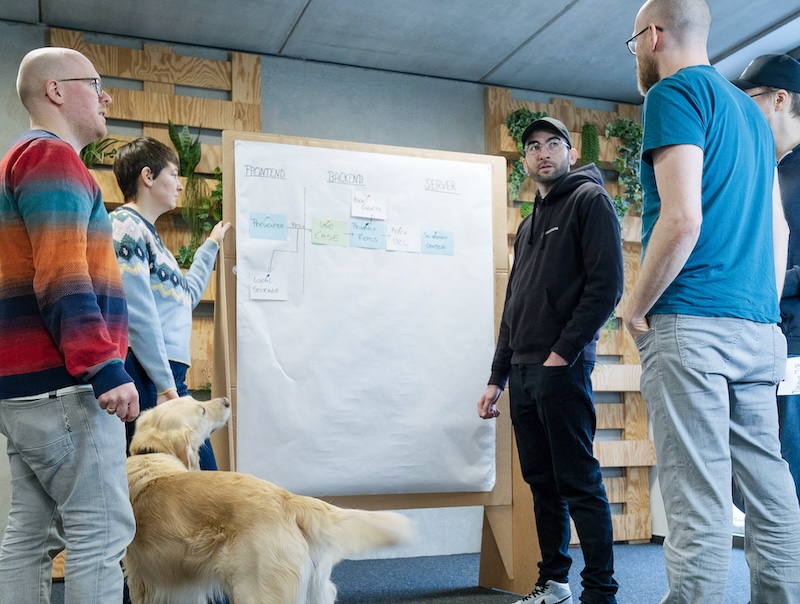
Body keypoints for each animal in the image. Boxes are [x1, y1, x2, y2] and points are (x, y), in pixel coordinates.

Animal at [126, 396, 412, 604]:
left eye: (198, 402)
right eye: (202, 410)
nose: (227, 401)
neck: (152, 453)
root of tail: (288, 499)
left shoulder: (142, 579)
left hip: (255, 592)